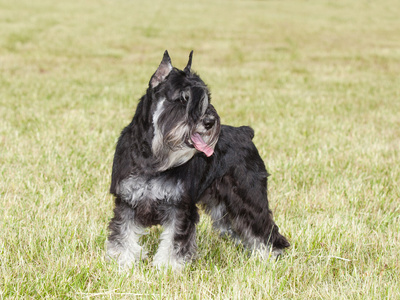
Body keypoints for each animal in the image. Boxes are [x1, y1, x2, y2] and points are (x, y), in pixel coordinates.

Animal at [105, 50, 288, 270]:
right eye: (183, 99)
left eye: (206, 99)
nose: (209, 122)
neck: (153, 158)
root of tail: (245, 132)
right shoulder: (126, 202)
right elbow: (123, 235)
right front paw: (123, 263)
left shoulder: (180, 208)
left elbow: (173, 241)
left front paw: (167, 268)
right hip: (222, 206)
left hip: (248, 197)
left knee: (263, 226)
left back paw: (269, 255)